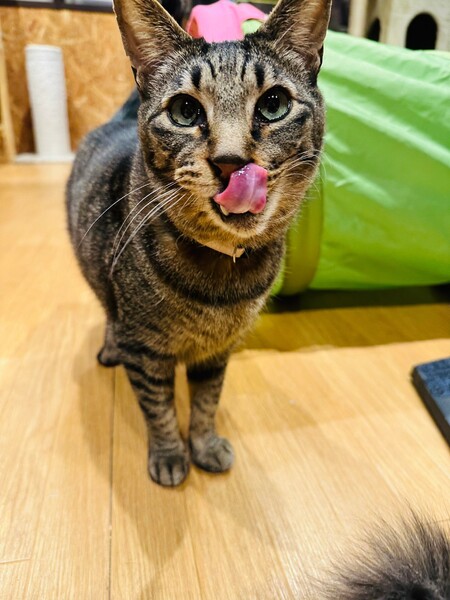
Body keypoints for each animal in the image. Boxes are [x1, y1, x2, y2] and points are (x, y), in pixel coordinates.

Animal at [67, 0, 330, 487]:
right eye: (185, 111)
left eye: (274, 104)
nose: (231, 163)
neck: (222, 280)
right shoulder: (145, 351)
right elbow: (159, 408)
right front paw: (171, 454)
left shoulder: (218, 352)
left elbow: (208, 402)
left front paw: (204, 445)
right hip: (100, 280)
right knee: (109, 312)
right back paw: (110, 348)